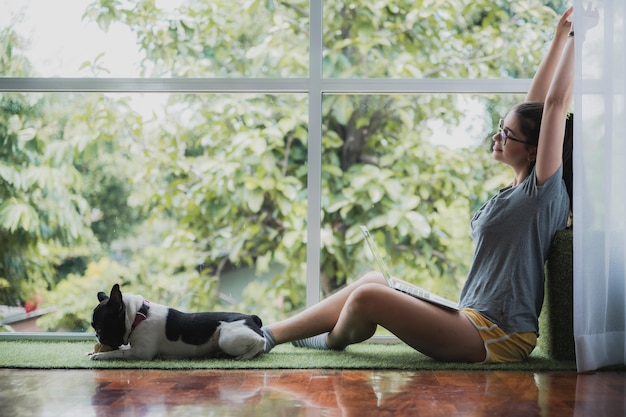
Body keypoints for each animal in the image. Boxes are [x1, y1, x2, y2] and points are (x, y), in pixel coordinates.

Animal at [89, 282, 264, 360]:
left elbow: (119, 352)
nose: (97, 336)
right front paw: (92, 351)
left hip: (227, 339)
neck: (138, 316)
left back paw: (245, 356)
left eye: (100, 327)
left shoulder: (141, 353)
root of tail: (251, 318)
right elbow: (123, 347)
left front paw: (100, 355)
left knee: (260, 341)